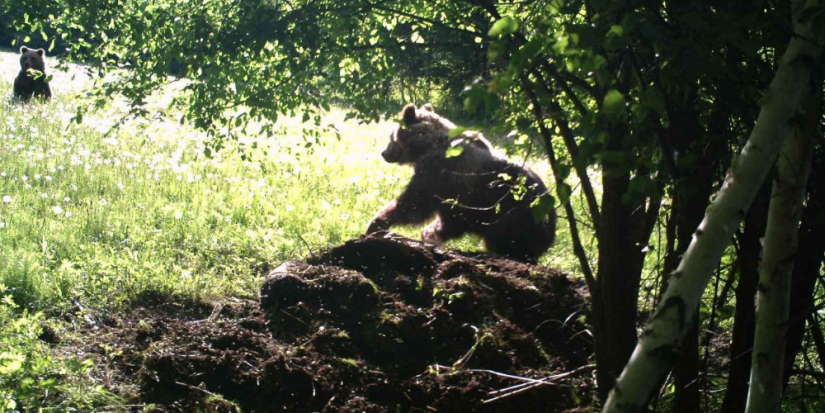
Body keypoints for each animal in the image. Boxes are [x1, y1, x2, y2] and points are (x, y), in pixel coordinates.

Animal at [366, 104, 552, 262]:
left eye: (391, 137)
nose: (384, 153)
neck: (427, 145)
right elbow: (447, 221)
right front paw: (431, 234)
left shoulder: (439, 172)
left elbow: (415, 204)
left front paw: (377, 223)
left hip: (516, 212)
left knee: (505, 237)